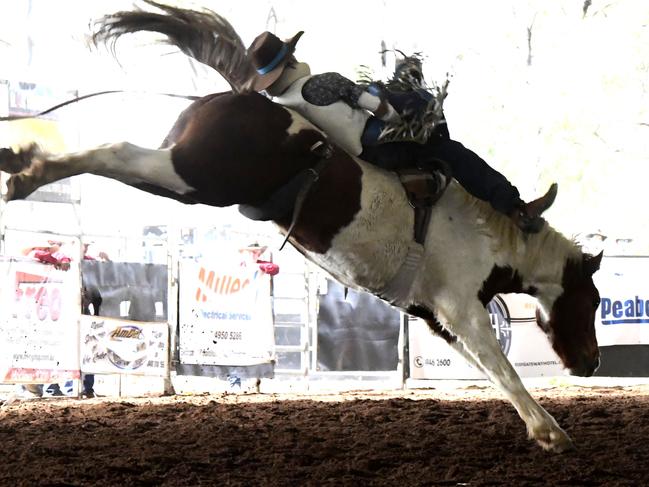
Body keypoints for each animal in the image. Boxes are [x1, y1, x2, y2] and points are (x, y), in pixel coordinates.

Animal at [0, 0, 604, 454]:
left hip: (184, 175)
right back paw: (30, 172)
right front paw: (550, 431)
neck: (491, 235)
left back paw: (20, 162)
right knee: (118, 150)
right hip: (194, 175)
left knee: (121, 154)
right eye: (593, 301)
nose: (593, 362)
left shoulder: (437, 317)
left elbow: (487, 367)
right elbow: (502, 364)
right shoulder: (461, 304)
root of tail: (243, 94)